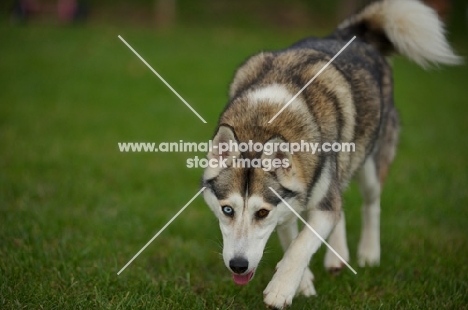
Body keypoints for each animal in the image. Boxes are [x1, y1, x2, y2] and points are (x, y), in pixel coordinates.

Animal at [201, 0, 460, 308]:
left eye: (262, 212)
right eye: (227, 210)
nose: (238, 266)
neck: (265, 121)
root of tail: (349, 35)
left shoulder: (312, 203)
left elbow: (301, 245)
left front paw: (281, 289)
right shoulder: (290, 205)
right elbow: (293, 239)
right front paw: (304, 283)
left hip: (369, 163)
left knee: (370, 204)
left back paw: (368, 253)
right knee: (341, 203)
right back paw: (337, 256)